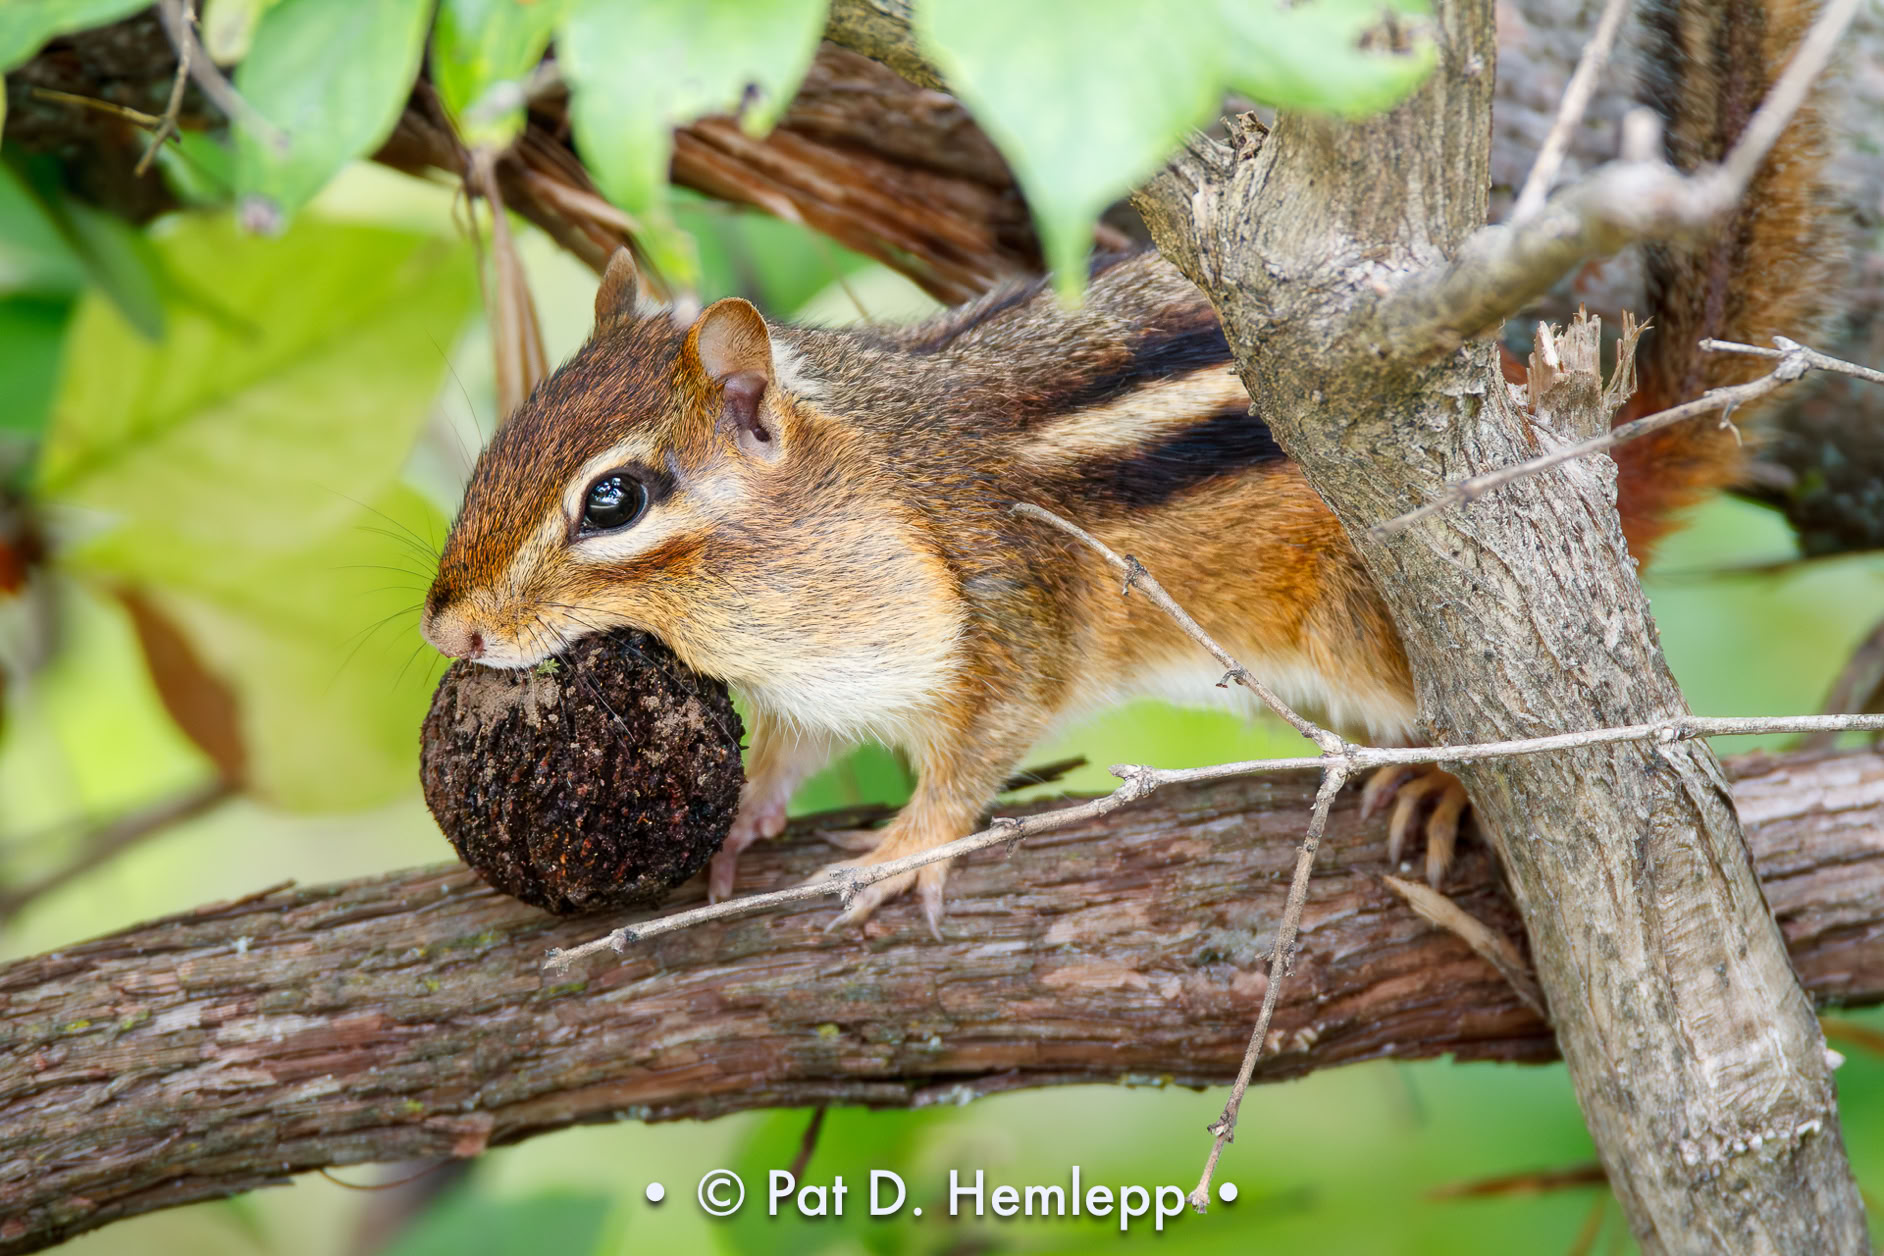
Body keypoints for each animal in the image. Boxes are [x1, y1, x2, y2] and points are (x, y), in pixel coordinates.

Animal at [422, 0, 1843, 932]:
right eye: (503, 437)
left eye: (614, 498)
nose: (447, 627)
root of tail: (1585, 462)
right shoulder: (820, 679)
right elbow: (794, 743)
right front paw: (751, 812)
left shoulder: (1002, 614)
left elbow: (979, 753)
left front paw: (901, 848)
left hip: (1371, 616)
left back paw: (1442, 776)